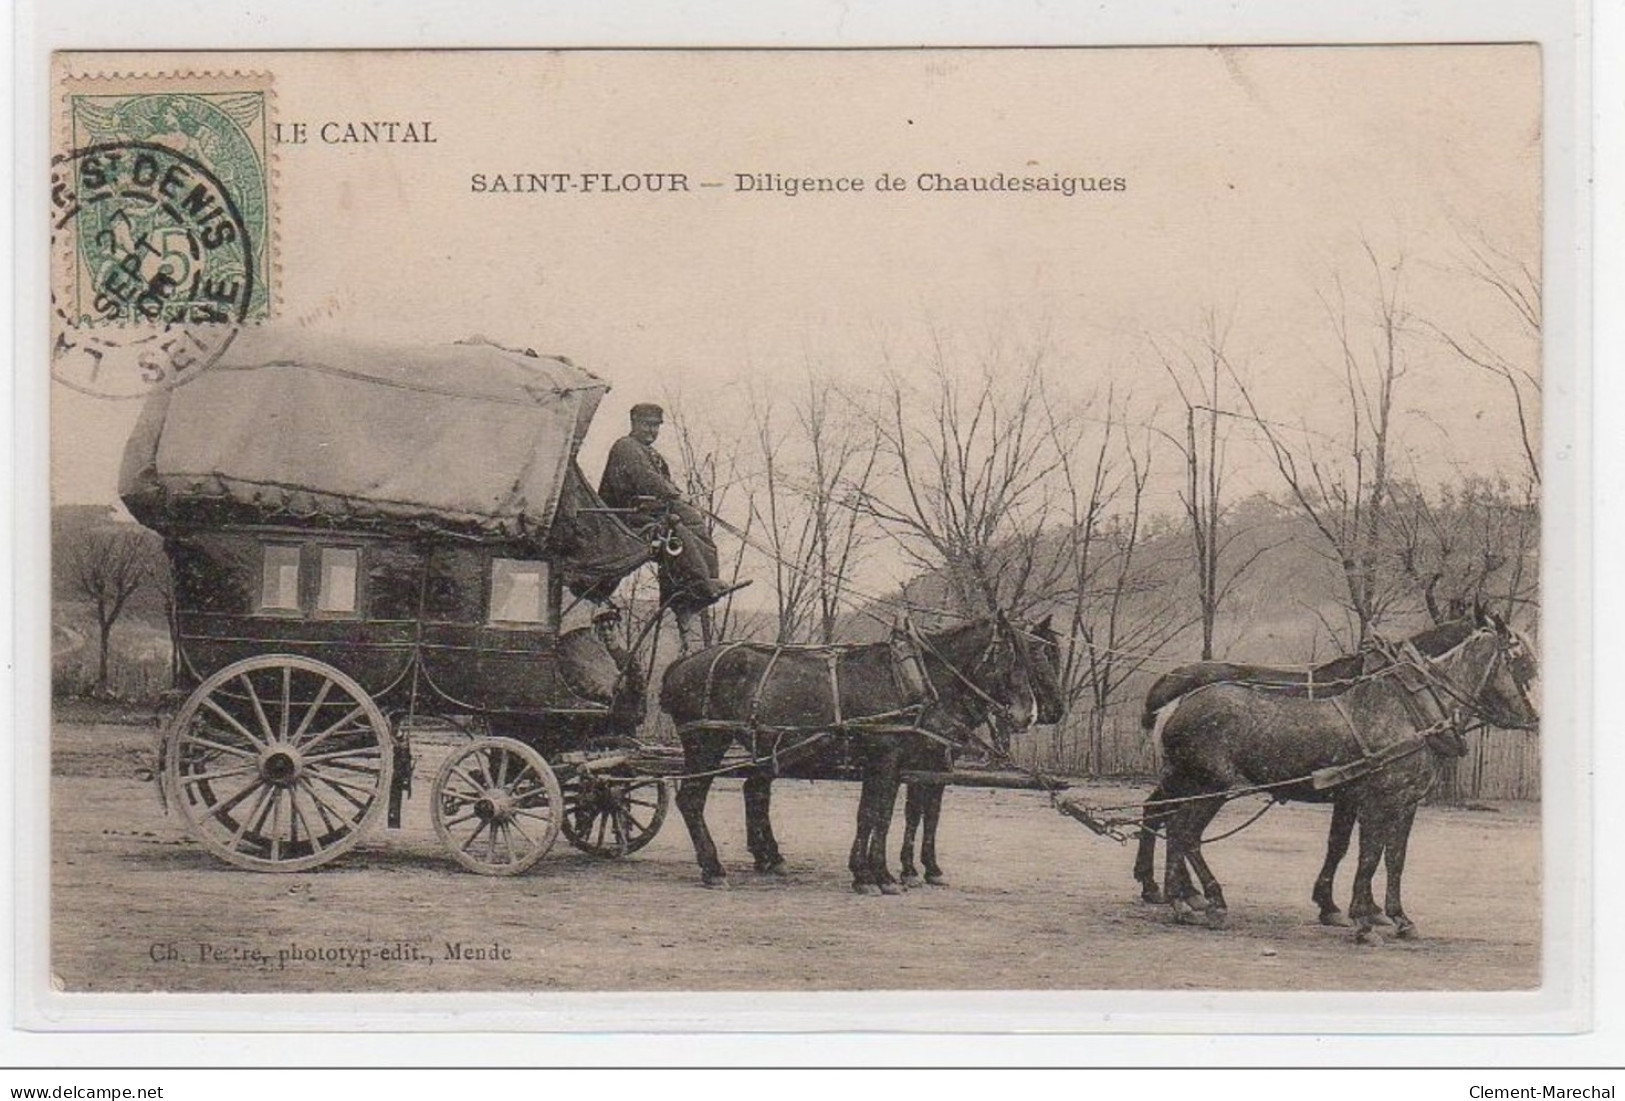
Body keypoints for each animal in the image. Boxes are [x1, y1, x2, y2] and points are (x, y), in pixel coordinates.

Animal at [659, 617, 1053, 889]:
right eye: (1007, 656)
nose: (1030, 714)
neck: (909, 681)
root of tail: (682, 662)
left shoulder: (893, 764)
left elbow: (882, 814)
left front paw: (874, 872)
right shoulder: (887, 758)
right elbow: (880, 815)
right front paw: (880, 875)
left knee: (752, 791)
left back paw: (764, 857)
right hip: (707, 742)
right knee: (691, 800)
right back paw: (713, 868)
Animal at [1157, 613, 1534, 941]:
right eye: (1521, 662)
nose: (1533, 719)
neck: (1413, 713)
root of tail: (1177, 707)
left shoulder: (1404, 803)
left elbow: (1393, 858)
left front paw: (1398, 917)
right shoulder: (1375, 801)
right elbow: (1368, 857)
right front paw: (1363, 921)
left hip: (1192, 785)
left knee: (1174, 830)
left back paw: (1181, 901)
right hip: (1211, 787)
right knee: (1185, 834)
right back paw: (1207, 901)